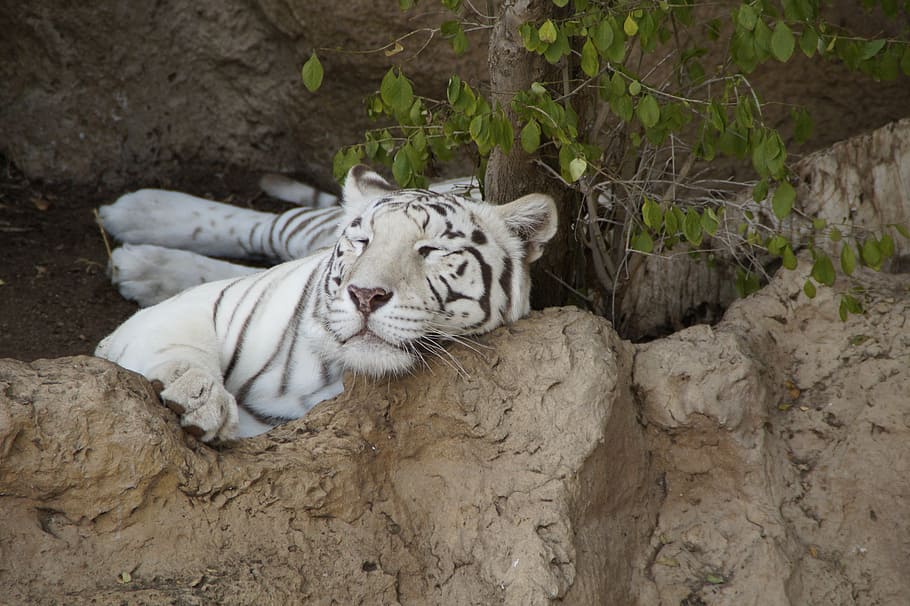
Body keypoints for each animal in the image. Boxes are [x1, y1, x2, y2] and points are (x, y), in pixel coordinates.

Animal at [95, 166, 557, 442]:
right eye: (363, 241)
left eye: (431, 250)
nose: (366, 295)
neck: (329, 371)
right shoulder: (191, 310)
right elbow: (180, 351)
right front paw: (199, 400)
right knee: (274, 224)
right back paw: (140, 215)